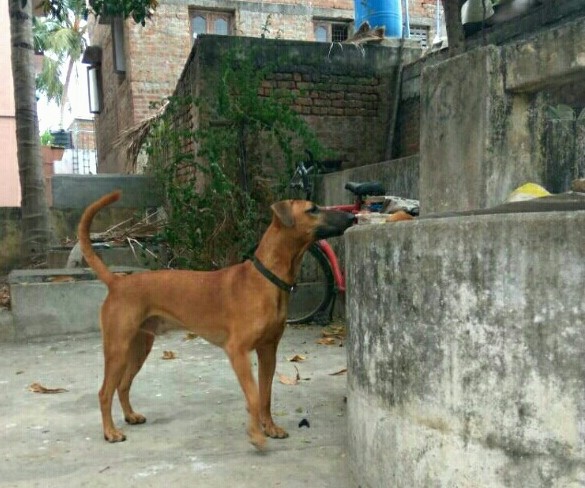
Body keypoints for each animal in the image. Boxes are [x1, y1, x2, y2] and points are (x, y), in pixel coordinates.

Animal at [77, 192, 352, 450]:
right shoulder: (237, 351)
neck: (266, 279)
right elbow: (253, 396)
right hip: (118, 349)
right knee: (104, 392)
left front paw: (270, 427)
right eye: (313, 209)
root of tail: (117, 282)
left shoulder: (268, 351)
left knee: (122, 385)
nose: (352, 217)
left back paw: (130, 416)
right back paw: (110, 432)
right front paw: (256, 435)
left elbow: (265, 395)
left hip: (139, 348)